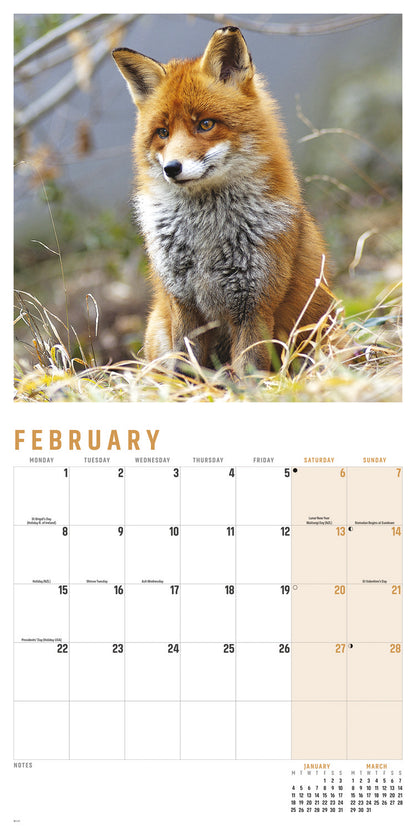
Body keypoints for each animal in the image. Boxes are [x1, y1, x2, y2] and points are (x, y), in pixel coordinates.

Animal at [112, 26, 335, 376]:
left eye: (205, 124)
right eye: (162, 132)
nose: (171, 168)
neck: (205, 234)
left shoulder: (255, 304)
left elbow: (248, 374)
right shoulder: (183, 304)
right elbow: (184, 369)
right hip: (157, 327)